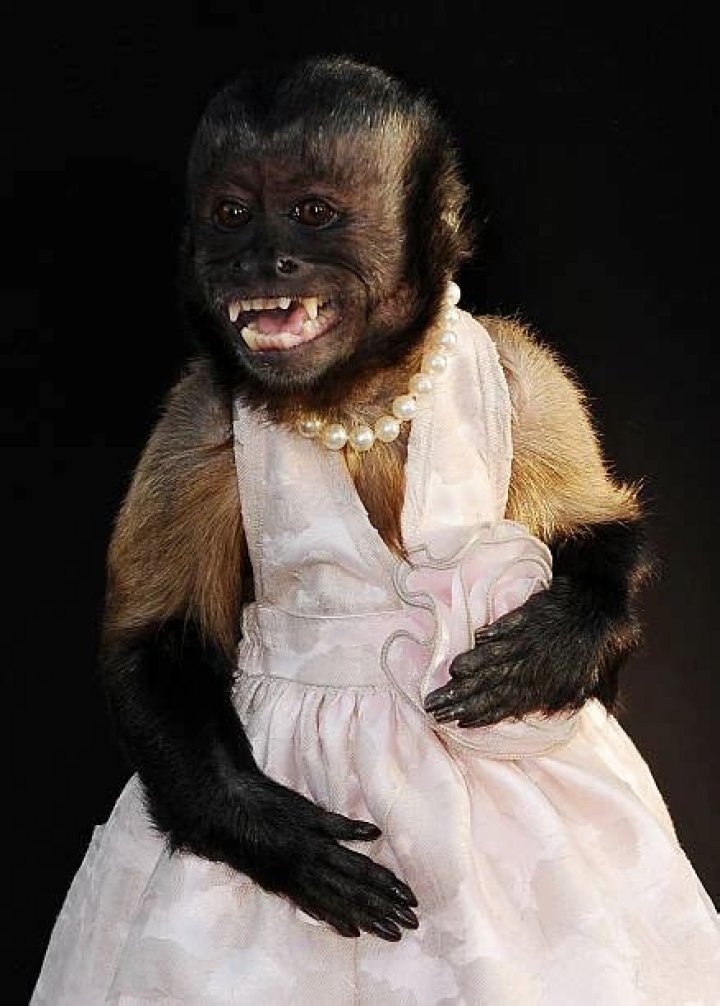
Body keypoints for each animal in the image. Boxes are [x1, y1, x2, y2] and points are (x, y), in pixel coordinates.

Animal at [32, 55, 720, 1005]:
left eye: (312, 213)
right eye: (233, 214)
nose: (259, 259)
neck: (356, 393)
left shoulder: (524, 363)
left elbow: (595, 530)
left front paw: (558, 649)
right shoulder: (197, 414)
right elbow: (151, 641)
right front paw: (274, 840)